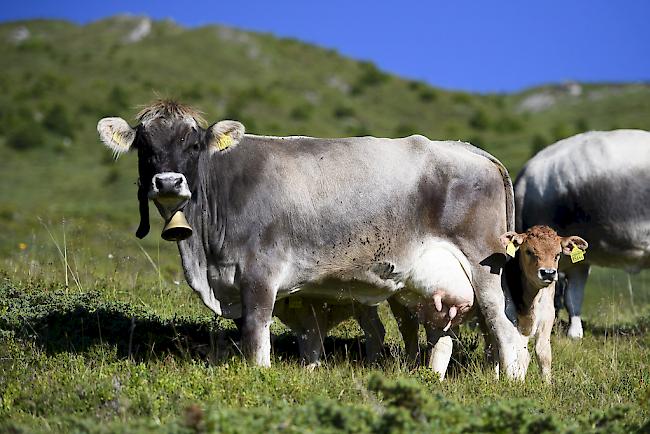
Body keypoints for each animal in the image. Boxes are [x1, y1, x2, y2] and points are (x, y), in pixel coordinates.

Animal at [97, 98, 532, 376]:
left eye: (191, 142)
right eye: (145, 145)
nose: (168, 182)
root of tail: (474, 151)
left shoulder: (260, 275)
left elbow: (256, 337)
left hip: (485, 269)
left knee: (508, 334)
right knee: (447, 336)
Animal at [498, 225, 584, 382]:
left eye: (557, 254)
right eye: (529, 251)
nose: (548, 273)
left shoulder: (547, 319)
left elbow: (543, 353)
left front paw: (547, 383)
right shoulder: (519, 325)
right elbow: (522, 354)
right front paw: (519, 381)